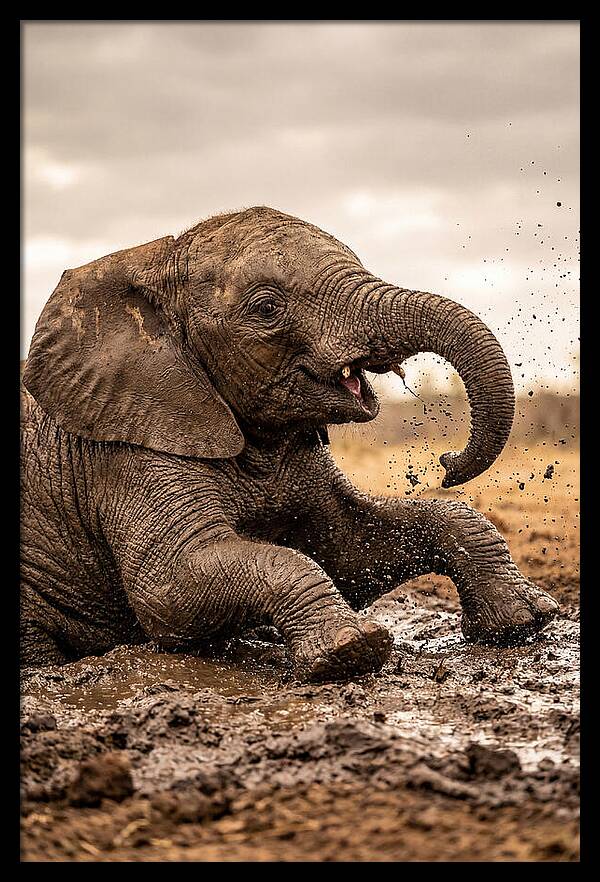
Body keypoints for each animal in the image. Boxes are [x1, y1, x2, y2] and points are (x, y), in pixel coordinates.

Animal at [21, 206, 559, 681]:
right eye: (266, 308)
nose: (447, 463)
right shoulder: (128, 450)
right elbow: (170, 589)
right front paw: (350, 650)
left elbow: (350, 549)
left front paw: (525, 621)